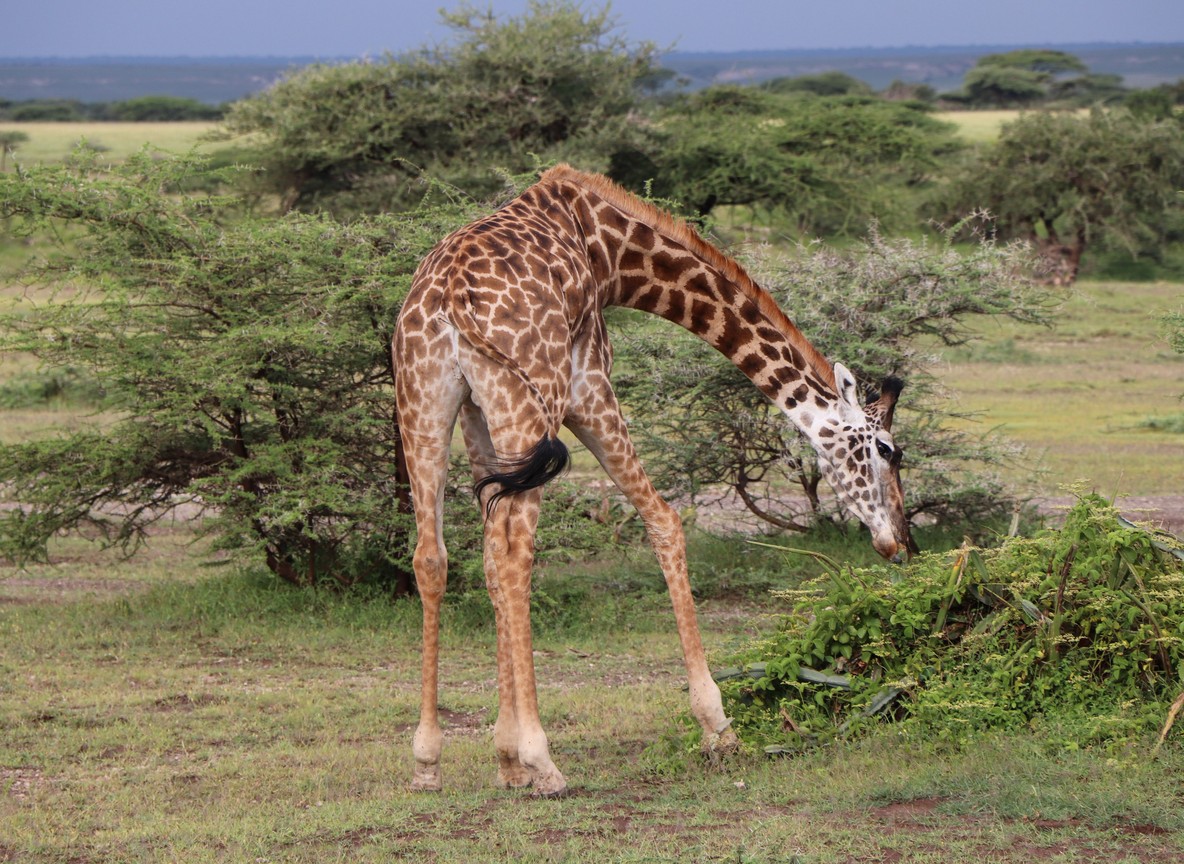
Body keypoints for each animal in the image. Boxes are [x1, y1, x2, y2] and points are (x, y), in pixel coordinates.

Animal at [393, 164, 914, 796]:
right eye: (887, 450)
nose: (898, 542)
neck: (610, 251)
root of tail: (448, 298)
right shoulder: (589, 385)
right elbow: (664, 520)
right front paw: (718, 727)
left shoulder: (477, 421)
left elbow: (485, 562)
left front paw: (504, 757)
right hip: (528, 405)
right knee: (519, 553)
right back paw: (546, 761)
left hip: (423, 403)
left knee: (433, 556)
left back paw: (428, 761)